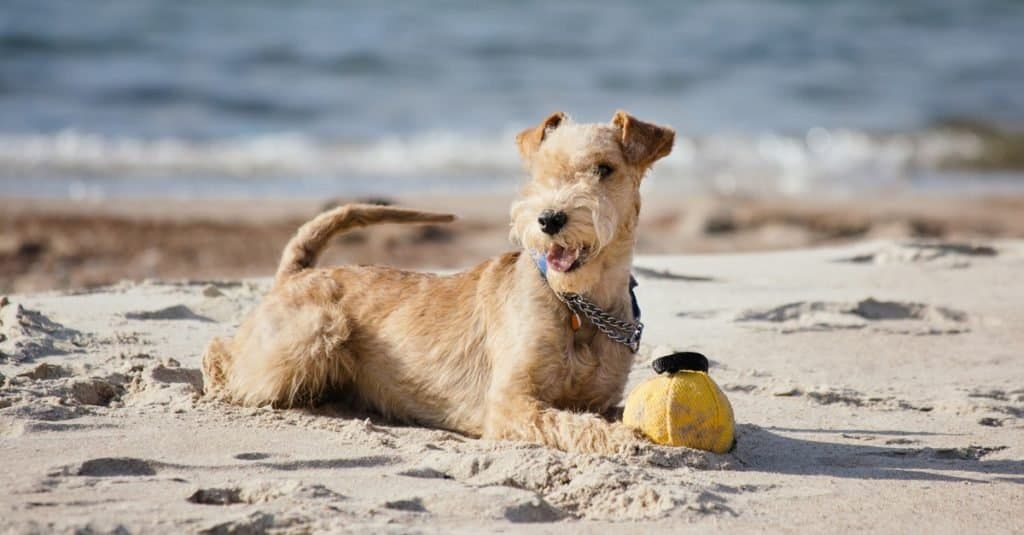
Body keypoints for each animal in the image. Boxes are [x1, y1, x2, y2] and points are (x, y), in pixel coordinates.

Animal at [202, 110, 675, 450]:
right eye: (538, 172)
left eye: (604, 169)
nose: (549, 219)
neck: (579, 304)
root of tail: (294, 274)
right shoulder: (510, 403)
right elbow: (571, 423)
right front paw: (621, 438)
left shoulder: (598, 399)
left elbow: (599, 413)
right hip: (310, 334)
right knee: (222, 353)